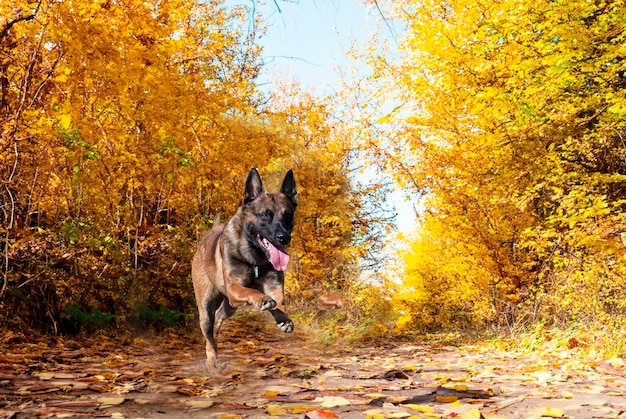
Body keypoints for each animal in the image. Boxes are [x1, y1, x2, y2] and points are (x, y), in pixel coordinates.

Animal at [191, 168, 296, 370]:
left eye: (287, 215)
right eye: (265, 215)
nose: (284, 237)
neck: (255, 258)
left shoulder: (274, 285)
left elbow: (281, 300)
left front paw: (283, 318)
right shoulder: (234, 288)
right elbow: (251, 291)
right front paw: (262, 300)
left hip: (230, 306)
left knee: (218, 319)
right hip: (206, 308)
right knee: (209, 337)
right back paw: (212, 363)